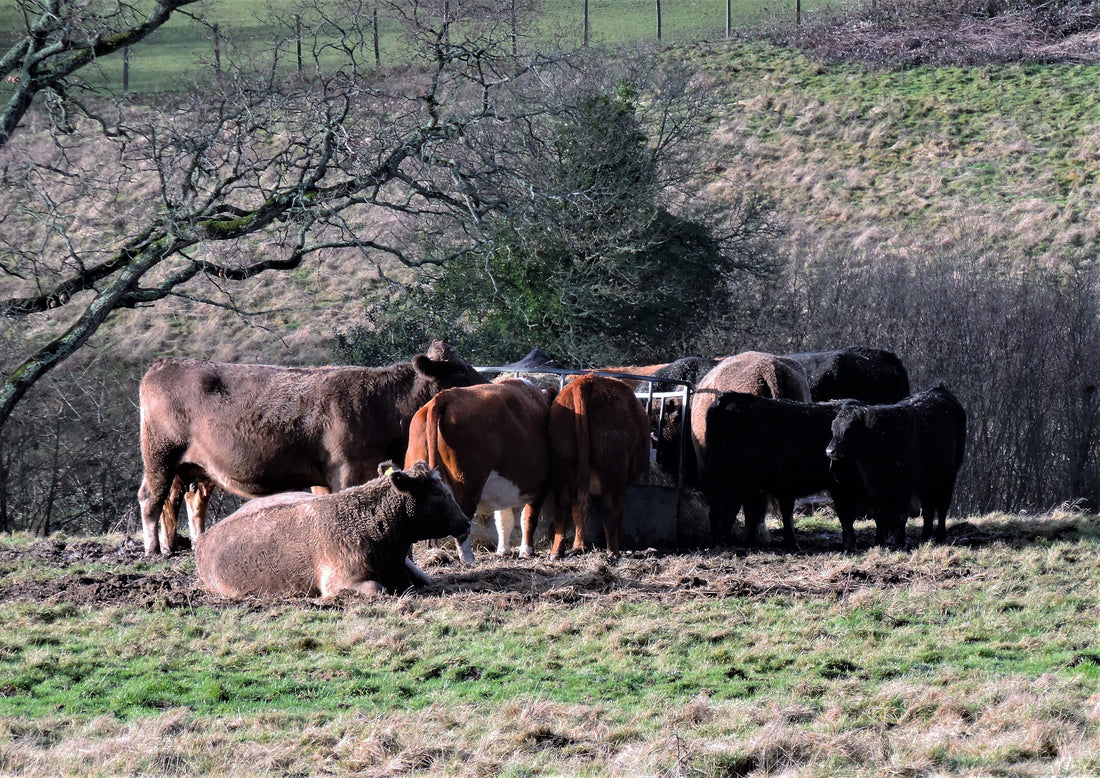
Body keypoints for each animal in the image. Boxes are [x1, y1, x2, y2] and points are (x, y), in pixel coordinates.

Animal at [137, 341, 486, 555]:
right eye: (458, 369)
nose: (486, 385)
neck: (380, 402)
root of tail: (164, 364)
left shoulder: (326, 477)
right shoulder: (349, 471)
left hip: (190, 468)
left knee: (184, 501)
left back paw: (180, 545)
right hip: (160, 456)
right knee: (151, 498)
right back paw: (153, 549)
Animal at [405, 379, 554, 562]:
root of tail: (445, 396)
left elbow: (504, 520)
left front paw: (503, 551)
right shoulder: (541, 486)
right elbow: (529, 518)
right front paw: (527, 551)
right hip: (468, 485)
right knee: (463, 520)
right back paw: (468, 558)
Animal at [547, 374, 650, 560]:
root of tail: (586, 380)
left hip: (563, 466)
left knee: (564, 507)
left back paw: (560, 552)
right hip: (613, 470)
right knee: (610, 509)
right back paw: (613, 552)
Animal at [702, 393, 866, 549]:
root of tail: (730, 398)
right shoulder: (841, 485)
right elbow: (846, 515)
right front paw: (850, 544)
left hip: (717, 476)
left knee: (717, 508)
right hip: (737, 481)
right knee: (728, 507)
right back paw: (723, 543)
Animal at [826, 385, 967, 548]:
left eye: (850, 429)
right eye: (833, 428)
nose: (829, 451)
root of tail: (939, 389)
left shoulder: (905, 485)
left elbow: (900, 515)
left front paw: (899, 542)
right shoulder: (874, 488)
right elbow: (879, 515)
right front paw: (879, 542)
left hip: (949, 474)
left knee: (942, 505)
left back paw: (940, 536)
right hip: (927, 480)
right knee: (928, 508)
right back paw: (926, 536)